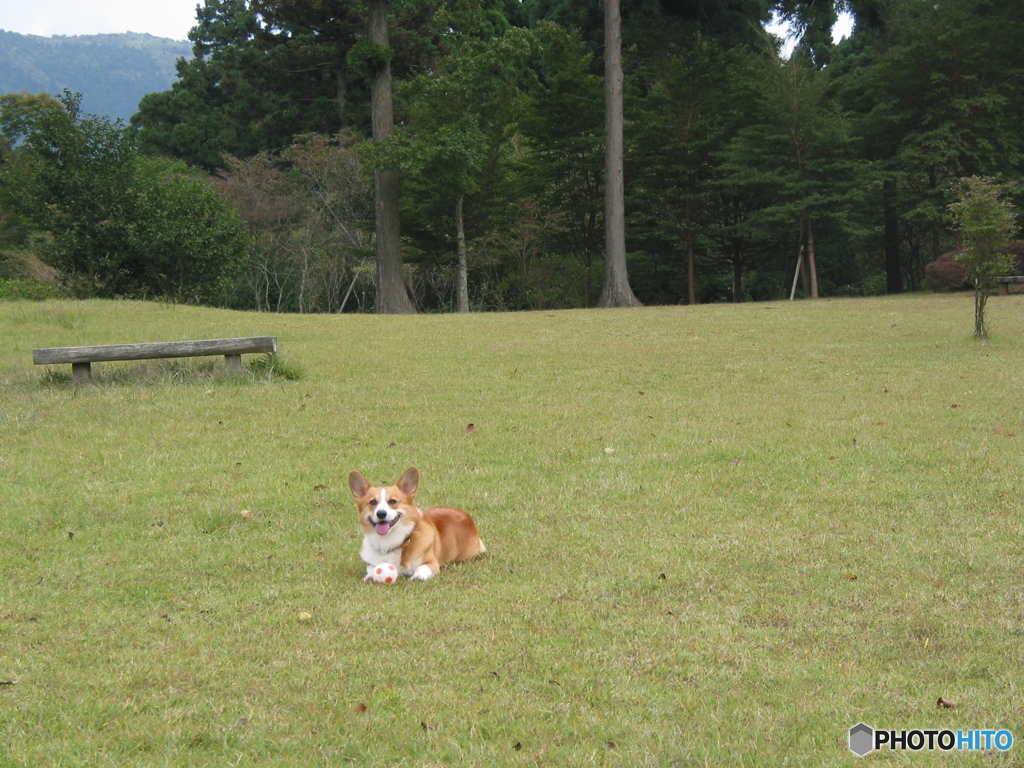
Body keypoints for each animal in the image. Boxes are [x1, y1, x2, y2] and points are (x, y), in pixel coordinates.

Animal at [348, 468, 487, 581]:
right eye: (372, 502)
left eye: (393, 501)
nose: (381, 514)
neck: (389, 543)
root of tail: (466, 516)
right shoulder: (371, 563)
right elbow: (372, 569)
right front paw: (370, 576)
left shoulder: (431, 563)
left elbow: (421, 568)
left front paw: (417, 576)